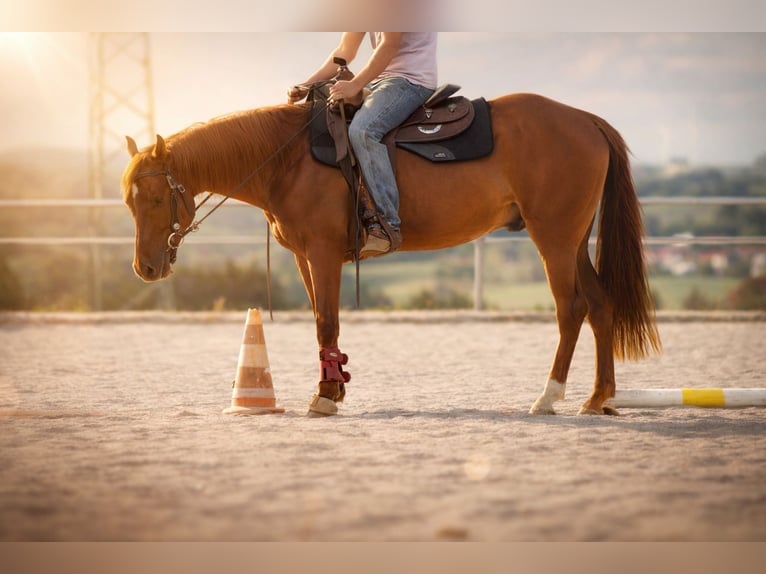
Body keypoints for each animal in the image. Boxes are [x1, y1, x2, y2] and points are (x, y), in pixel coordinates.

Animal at [122, 92, 661, 417]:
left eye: (155, 198)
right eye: (128, 200)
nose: (145, 268)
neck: (287, 159)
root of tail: (586, 119)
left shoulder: (322, 253)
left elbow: (327, 321)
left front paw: (325, 396)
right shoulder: (304, 258)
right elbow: (321, 320)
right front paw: (334, 385)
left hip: (554, 237)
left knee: (571, 309)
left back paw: (548, 397)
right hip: (574, 240)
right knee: (601, 306)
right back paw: (597, 398)